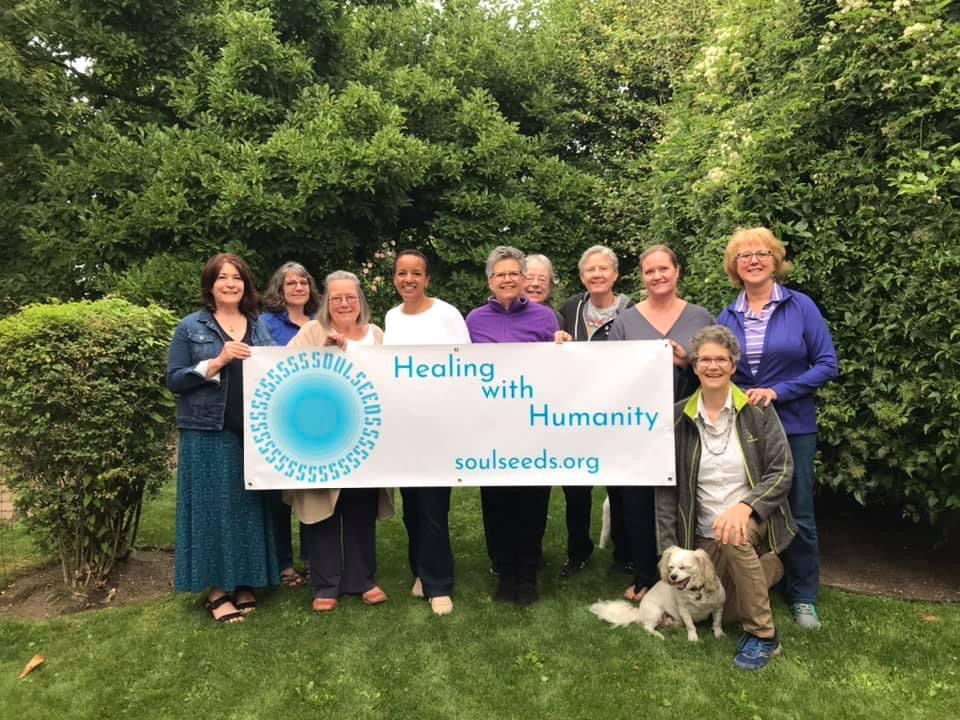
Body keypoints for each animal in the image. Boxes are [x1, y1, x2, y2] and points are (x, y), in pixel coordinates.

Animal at [588, 544, 724, 640]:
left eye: (683, 567)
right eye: (671, 567)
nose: (672, 577)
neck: (694, 591)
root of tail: (639, 613)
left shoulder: (718, 607)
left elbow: (717, 622)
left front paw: (719, 634)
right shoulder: (684, 610)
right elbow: (691, 625)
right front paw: (693, 637)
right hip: (656, 612)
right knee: (647, 627)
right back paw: (658, 635)